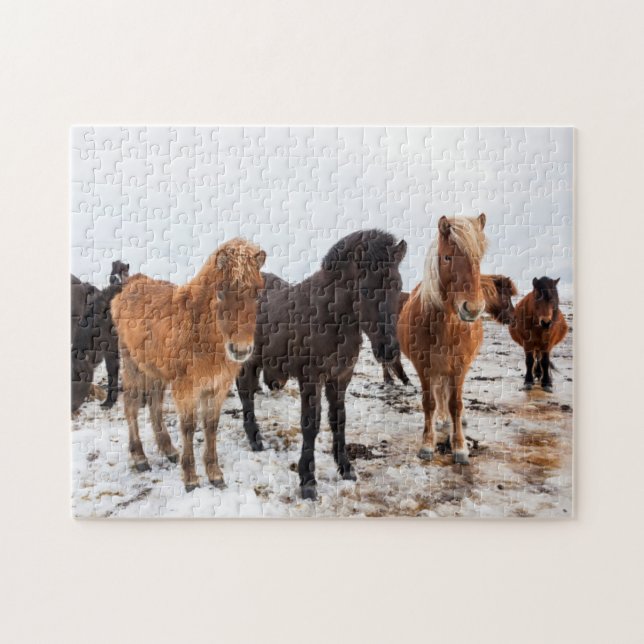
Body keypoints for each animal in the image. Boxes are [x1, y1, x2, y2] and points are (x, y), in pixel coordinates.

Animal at [111, 238, 266, 491]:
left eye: (258, 292)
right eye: (220, 291)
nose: (240, 350)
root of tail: (132, 283)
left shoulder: (217, 387)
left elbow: (211, 426)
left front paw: (214, 474)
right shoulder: (186, 389)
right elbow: (189, 427)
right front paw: (191, 477)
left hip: (156, 372)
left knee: (154, 405)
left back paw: (168, 450)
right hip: (132, 365)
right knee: (131, 406)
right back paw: (140, 457)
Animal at [236, 230, 407, 500]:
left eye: (398, 286)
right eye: (366, 290)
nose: (388, 350)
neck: (330, 318)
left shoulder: (340, 378)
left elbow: (339, 420)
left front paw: (346, 468)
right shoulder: (311, 378)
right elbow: (311, 425)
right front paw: (308, 481)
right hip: (247, 361)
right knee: (245, 394)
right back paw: (255, 440)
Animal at [398, 214, 488, 464]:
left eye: (479, 258)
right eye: (447, 257)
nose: (473, 308)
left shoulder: (459, 367)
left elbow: (455, 404)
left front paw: (460, 447)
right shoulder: (425, 367)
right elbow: (429, 402)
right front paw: (427, 444)